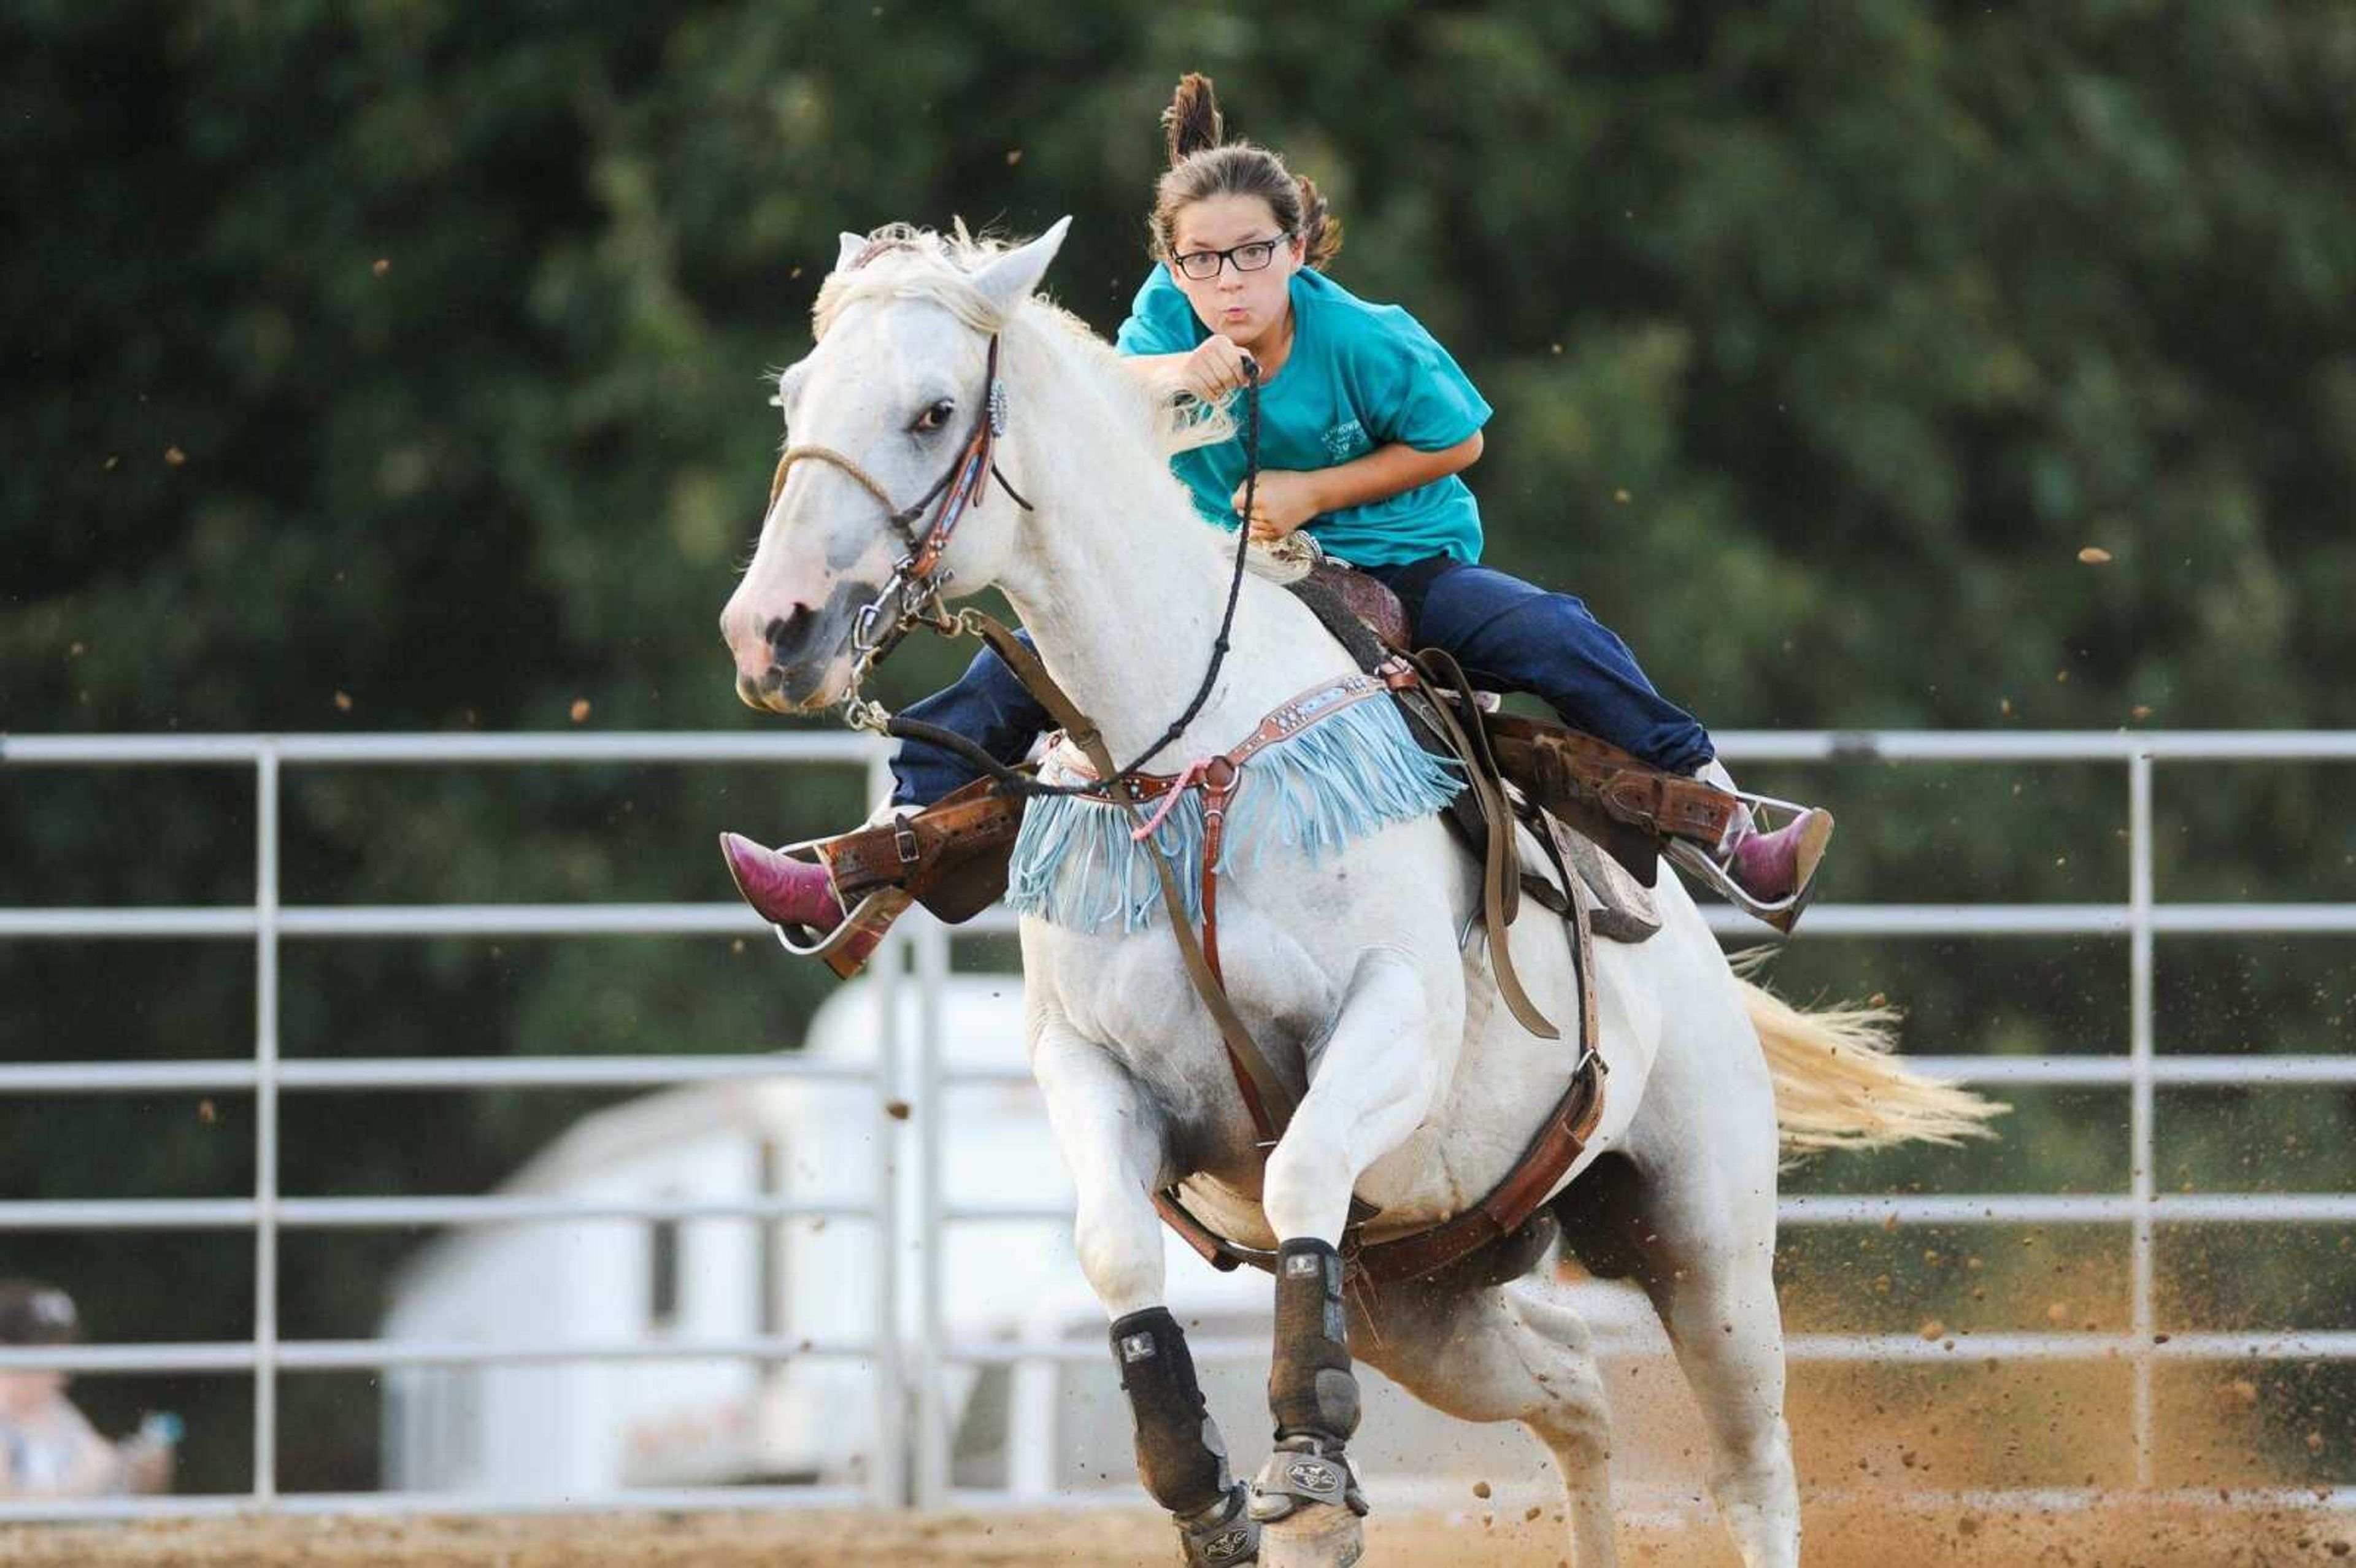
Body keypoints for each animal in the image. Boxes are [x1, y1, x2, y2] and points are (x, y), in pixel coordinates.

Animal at [711, 222, 1988, 1563]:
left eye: (934, 409)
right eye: (797, 396)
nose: (773, 630)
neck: (1185, 756)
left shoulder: (1391, 1025)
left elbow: (1303, 1177)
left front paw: (1307, 1462)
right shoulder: (1087, 1064)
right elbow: (1115, 1251)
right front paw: (1205, 1488)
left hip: (1707, 1243)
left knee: (1751, 1468)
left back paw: (1749, 837)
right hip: (1425, 1307)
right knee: (1576, 1390)